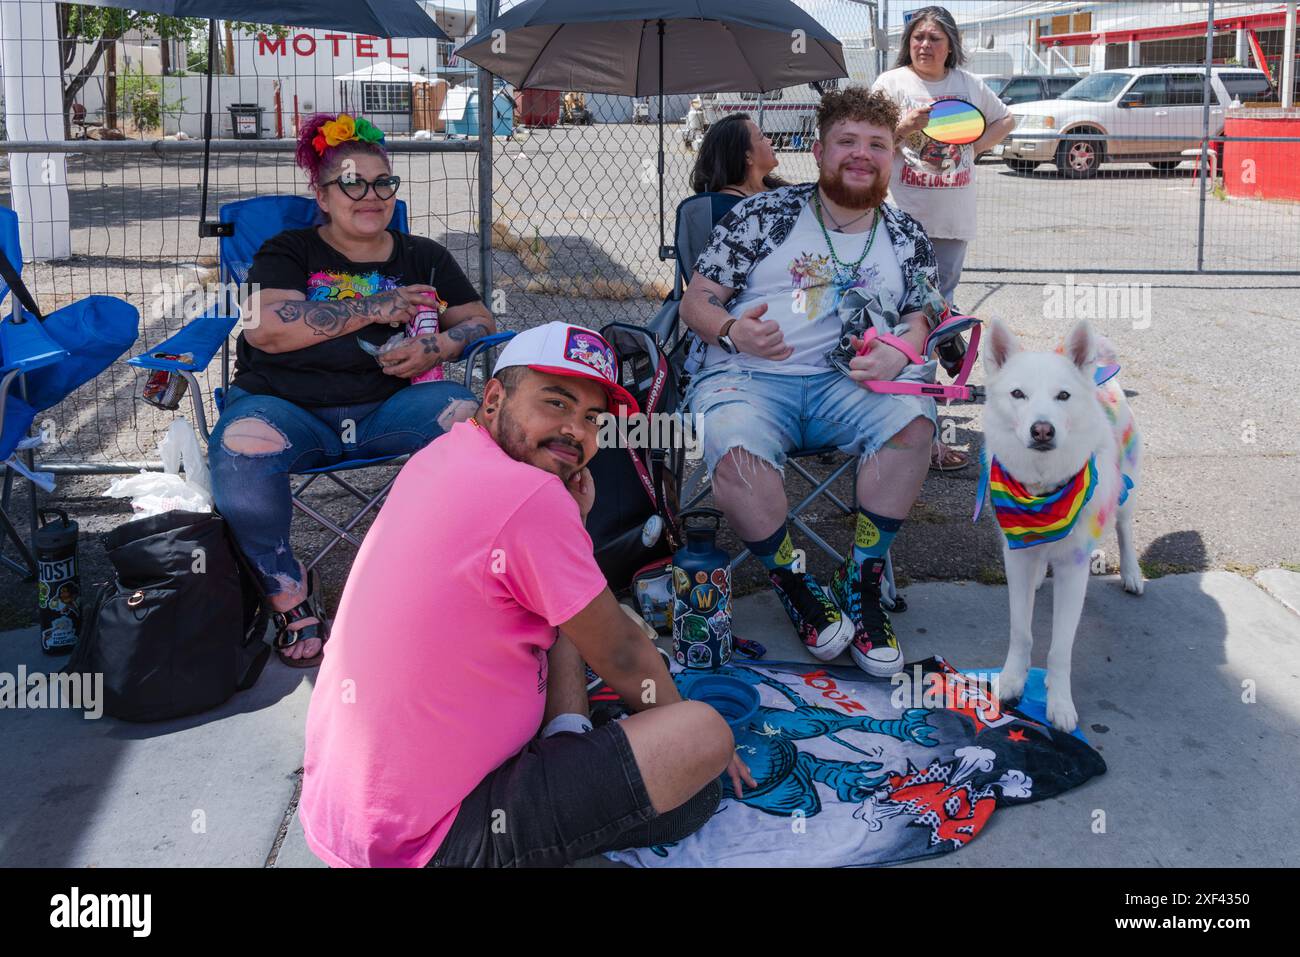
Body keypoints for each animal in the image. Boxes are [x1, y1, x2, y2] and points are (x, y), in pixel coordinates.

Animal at [977, 321, 1144, 733]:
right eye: (1018, 394)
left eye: (1063, 396)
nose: (1042, 430)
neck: (1041, 490)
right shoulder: (1016, 558)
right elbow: (1021, 631)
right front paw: (1012, 680)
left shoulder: (1074, 568)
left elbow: (1060, 650)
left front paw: (1059, 702)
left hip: (1126, 490)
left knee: (1125, 529)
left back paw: (1132, 573)